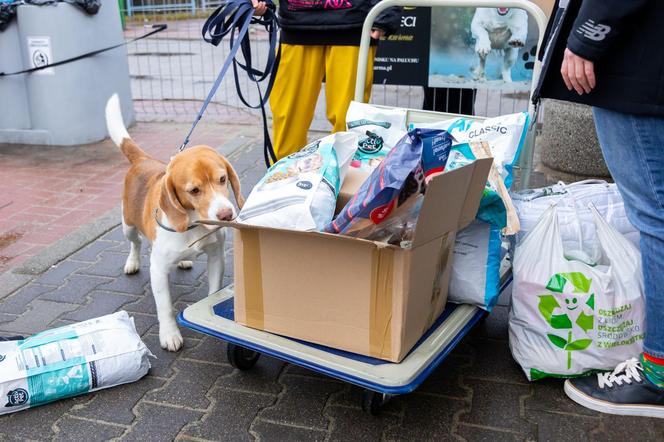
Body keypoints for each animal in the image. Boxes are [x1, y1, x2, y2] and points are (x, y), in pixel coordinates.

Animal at [105, 94, 244, 352]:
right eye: (194, 190)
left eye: (222, 179)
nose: (226, 215)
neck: (192, 224)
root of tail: (144, 160)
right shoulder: (158, 271)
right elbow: (166, 308)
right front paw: (170, 335)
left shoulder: (216, 256)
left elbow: (213, 291)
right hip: (127, 226)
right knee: (135, 243)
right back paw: (132, 262)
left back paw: (184, 261)